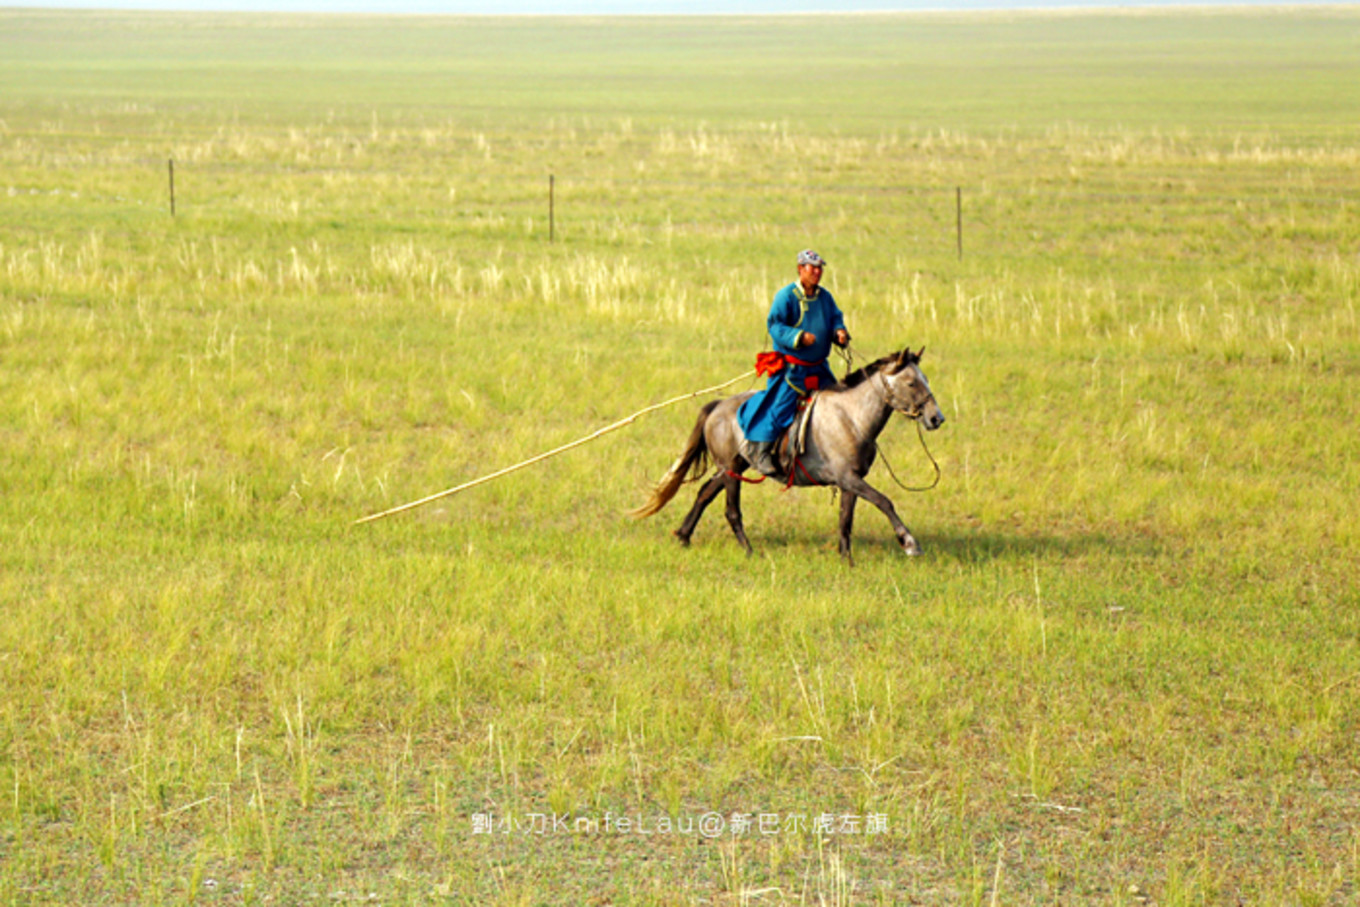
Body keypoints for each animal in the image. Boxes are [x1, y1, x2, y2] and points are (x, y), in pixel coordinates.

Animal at [633, 345, 946, 560]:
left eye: (927, 379)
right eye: (911, 382)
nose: (936, 418)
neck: (851, 417)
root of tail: (717, 406)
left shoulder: (851, 481)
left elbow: (846, 519)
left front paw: (846, 559)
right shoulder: (848, 478)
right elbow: (884, 501)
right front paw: (909, 543)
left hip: (732, 468)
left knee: (705, 493)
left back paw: (684, 536)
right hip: (732, 470)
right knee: (731, 510)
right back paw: (748, 550)